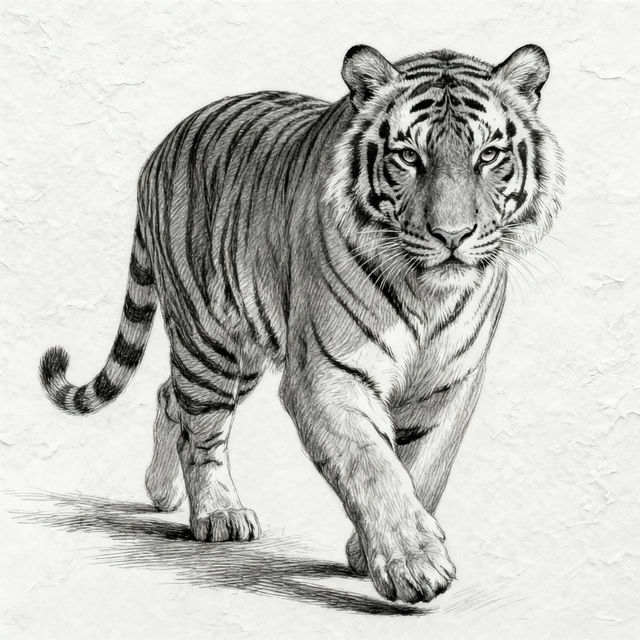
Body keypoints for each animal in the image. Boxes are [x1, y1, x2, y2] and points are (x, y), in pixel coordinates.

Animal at [40, 44, 563, 604]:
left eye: (488, 155)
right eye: (407, 157)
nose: (452, 235)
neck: (427, 295)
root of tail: (162, 147)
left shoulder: (449, 383)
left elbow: (423, 468)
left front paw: (370, 551)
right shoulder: (327, 375)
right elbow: (372, 465)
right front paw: (413, 564)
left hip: (244, 349)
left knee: (168, 395)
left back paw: (161, 493)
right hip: (210, 340)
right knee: (201, 432)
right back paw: (218, 514)